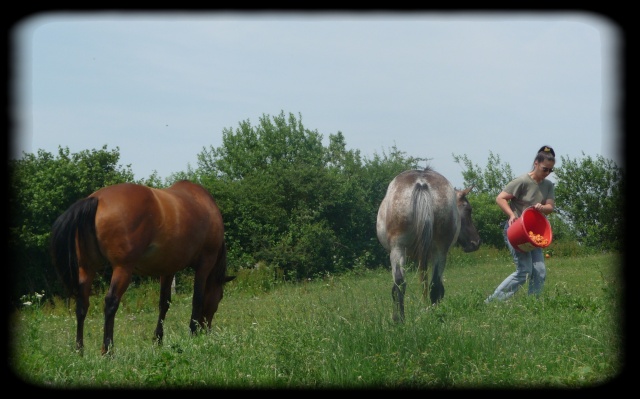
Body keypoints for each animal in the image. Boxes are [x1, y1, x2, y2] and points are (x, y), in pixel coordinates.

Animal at [49, 181, 235, 356]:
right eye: (220, 296)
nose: (207, 330)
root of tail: (97, 199)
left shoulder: (167, 270)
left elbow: (164, 303)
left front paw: (158, 340)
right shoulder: (205, 264)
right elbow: (197, 299)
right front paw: (193, 333)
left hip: (87, 268)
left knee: (82, 305)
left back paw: (79, 350)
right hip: (123, 269)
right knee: (110, 303)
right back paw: (108, 351)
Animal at [376, 167, 480, 324]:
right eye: (469, 210)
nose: (476, 243)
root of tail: (422, 183)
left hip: (398, 248)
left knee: (400, 284)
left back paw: (400, 320)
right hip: (439, 250)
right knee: (433, 284)